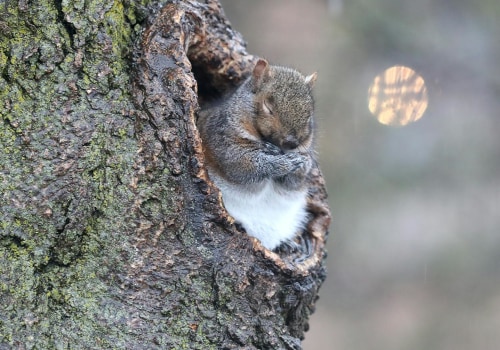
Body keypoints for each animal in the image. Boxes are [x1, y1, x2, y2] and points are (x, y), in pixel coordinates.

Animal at [197, 58, 318, 250]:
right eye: (268, 107)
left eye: (309, 116)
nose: (291, 142)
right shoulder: (222, 142)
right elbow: (244, 165)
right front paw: (283, 164)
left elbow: (292, 182)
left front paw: (303, 164)